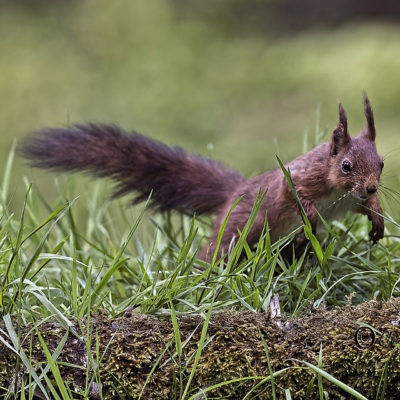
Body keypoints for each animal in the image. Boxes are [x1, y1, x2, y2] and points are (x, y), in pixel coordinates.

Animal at [19, 94, 384, 260]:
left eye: (381, 163)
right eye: (346, 166)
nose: (370, 187)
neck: (336, 191)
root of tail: (232, 194)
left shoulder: (350, 200)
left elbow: (365, 209)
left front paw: (378, 219)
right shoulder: (302, 178)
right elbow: (293, 192)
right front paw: (310, 216)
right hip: (237, 229)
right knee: (215, 252)